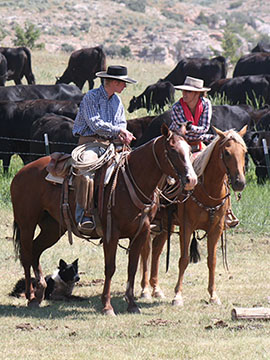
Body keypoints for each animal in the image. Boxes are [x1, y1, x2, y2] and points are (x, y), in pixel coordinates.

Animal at [10, 124, 197, 316]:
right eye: (172, 150)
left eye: (190, 150)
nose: (191, 180)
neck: (131, 181)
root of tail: (21, 172)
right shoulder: (111, 234)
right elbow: (110, 268)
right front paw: (107, 306)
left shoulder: (140, 233)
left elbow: (132, 267)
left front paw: (132, 304)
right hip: (27, 223)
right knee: (26, 254)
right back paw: (31, 295)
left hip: (52, 228)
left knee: (36, 251)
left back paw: (40, 293)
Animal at [140, 126, 248, 306]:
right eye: (226, 152)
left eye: (245, 152)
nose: (240, 183)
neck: (208, 191)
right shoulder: (187, 226)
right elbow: (183, 259)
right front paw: (178, 296)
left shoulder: (216, 228)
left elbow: (212, 260)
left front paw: (213, 295)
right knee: (146, 251)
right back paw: (145, 290)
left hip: (166, 225)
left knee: (155, 252)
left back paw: (156, 289)